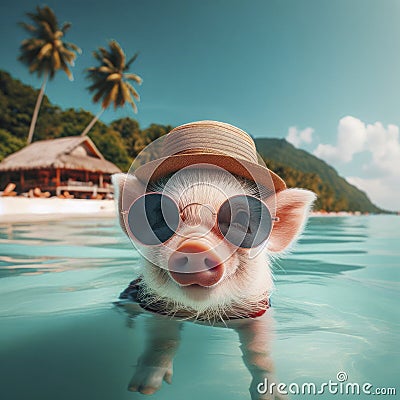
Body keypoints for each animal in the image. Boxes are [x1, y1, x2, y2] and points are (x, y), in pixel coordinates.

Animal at [112, 166, 316, 400]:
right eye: (162, 218)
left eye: (241, 220)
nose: (194, 246)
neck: (204, 315)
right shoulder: (157, 309)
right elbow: (163, 340)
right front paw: (143, 389)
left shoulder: (258, 313)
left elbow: (258, 350)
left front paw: (273, 396)